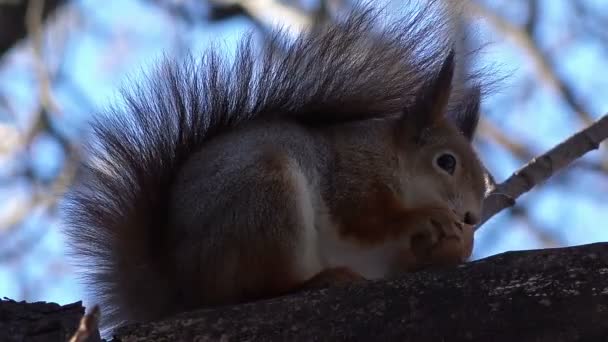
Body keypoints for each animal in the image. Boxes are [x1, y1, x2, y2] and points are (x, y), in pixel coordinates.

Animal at [60, 0, 490, 332]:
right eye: (446, 162)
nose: (471, 216)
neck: (393, 160)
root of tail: (183, 287)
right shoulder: (351, 175)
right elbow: (364, 219)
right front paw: (428, 217)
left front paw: (458, 245)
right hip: (266, 200)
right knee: (257, 289)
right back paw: (319, 279)